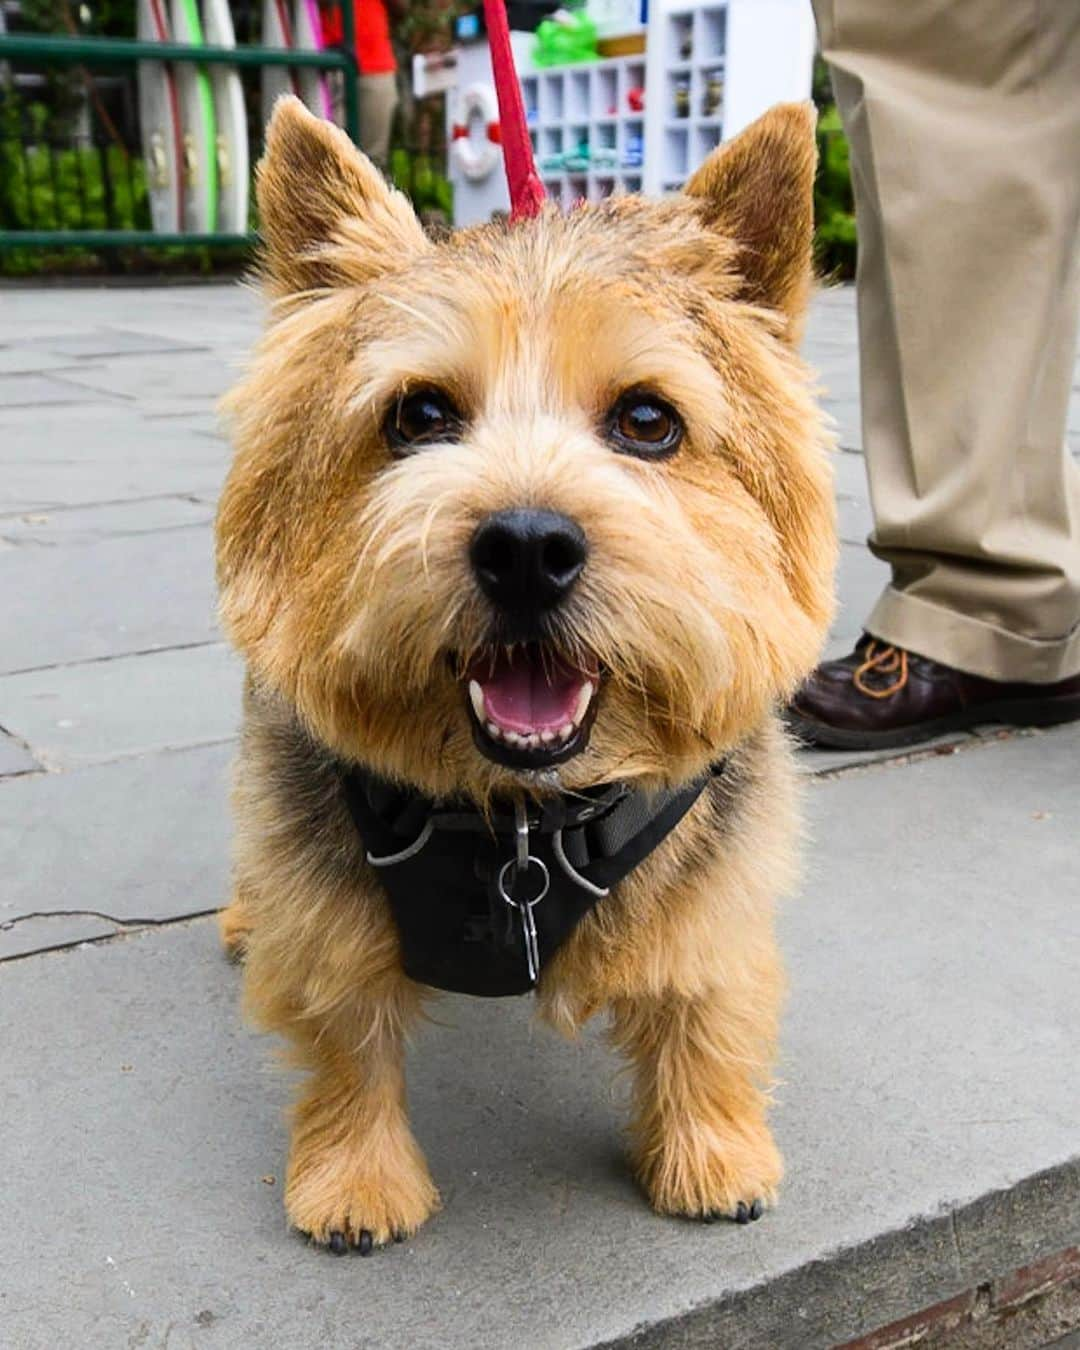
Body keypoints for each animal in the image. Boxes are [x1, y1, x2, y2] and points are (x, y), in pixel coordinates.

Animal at [210, 95, 837, 1252]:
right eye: (418, 415)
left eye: (648, 420)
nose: (528, 547)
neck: (515, 821)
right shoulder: (324, 911)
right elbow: (343, 1033)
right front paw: (354, 1179)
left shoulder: (716, 887)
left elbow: (707, 1008)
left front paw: (712, 1151)